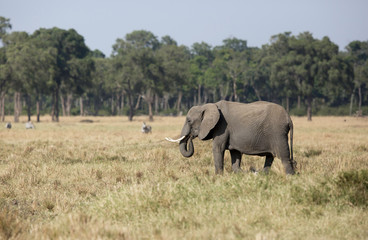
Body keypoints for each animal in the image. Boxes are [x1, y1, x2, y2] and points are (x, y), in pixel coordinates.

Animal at [167, 100, 296, 174]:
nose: (190, 137)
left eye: (189, 120)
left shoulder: (222, 127)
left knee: (284, 158)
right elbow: (235, 153)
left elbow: (217, 148)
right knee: (270, 158)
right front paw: (241, 174)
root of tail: (289, 118)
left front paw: (218, 177)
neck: (207, 106)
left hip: (278, 133)